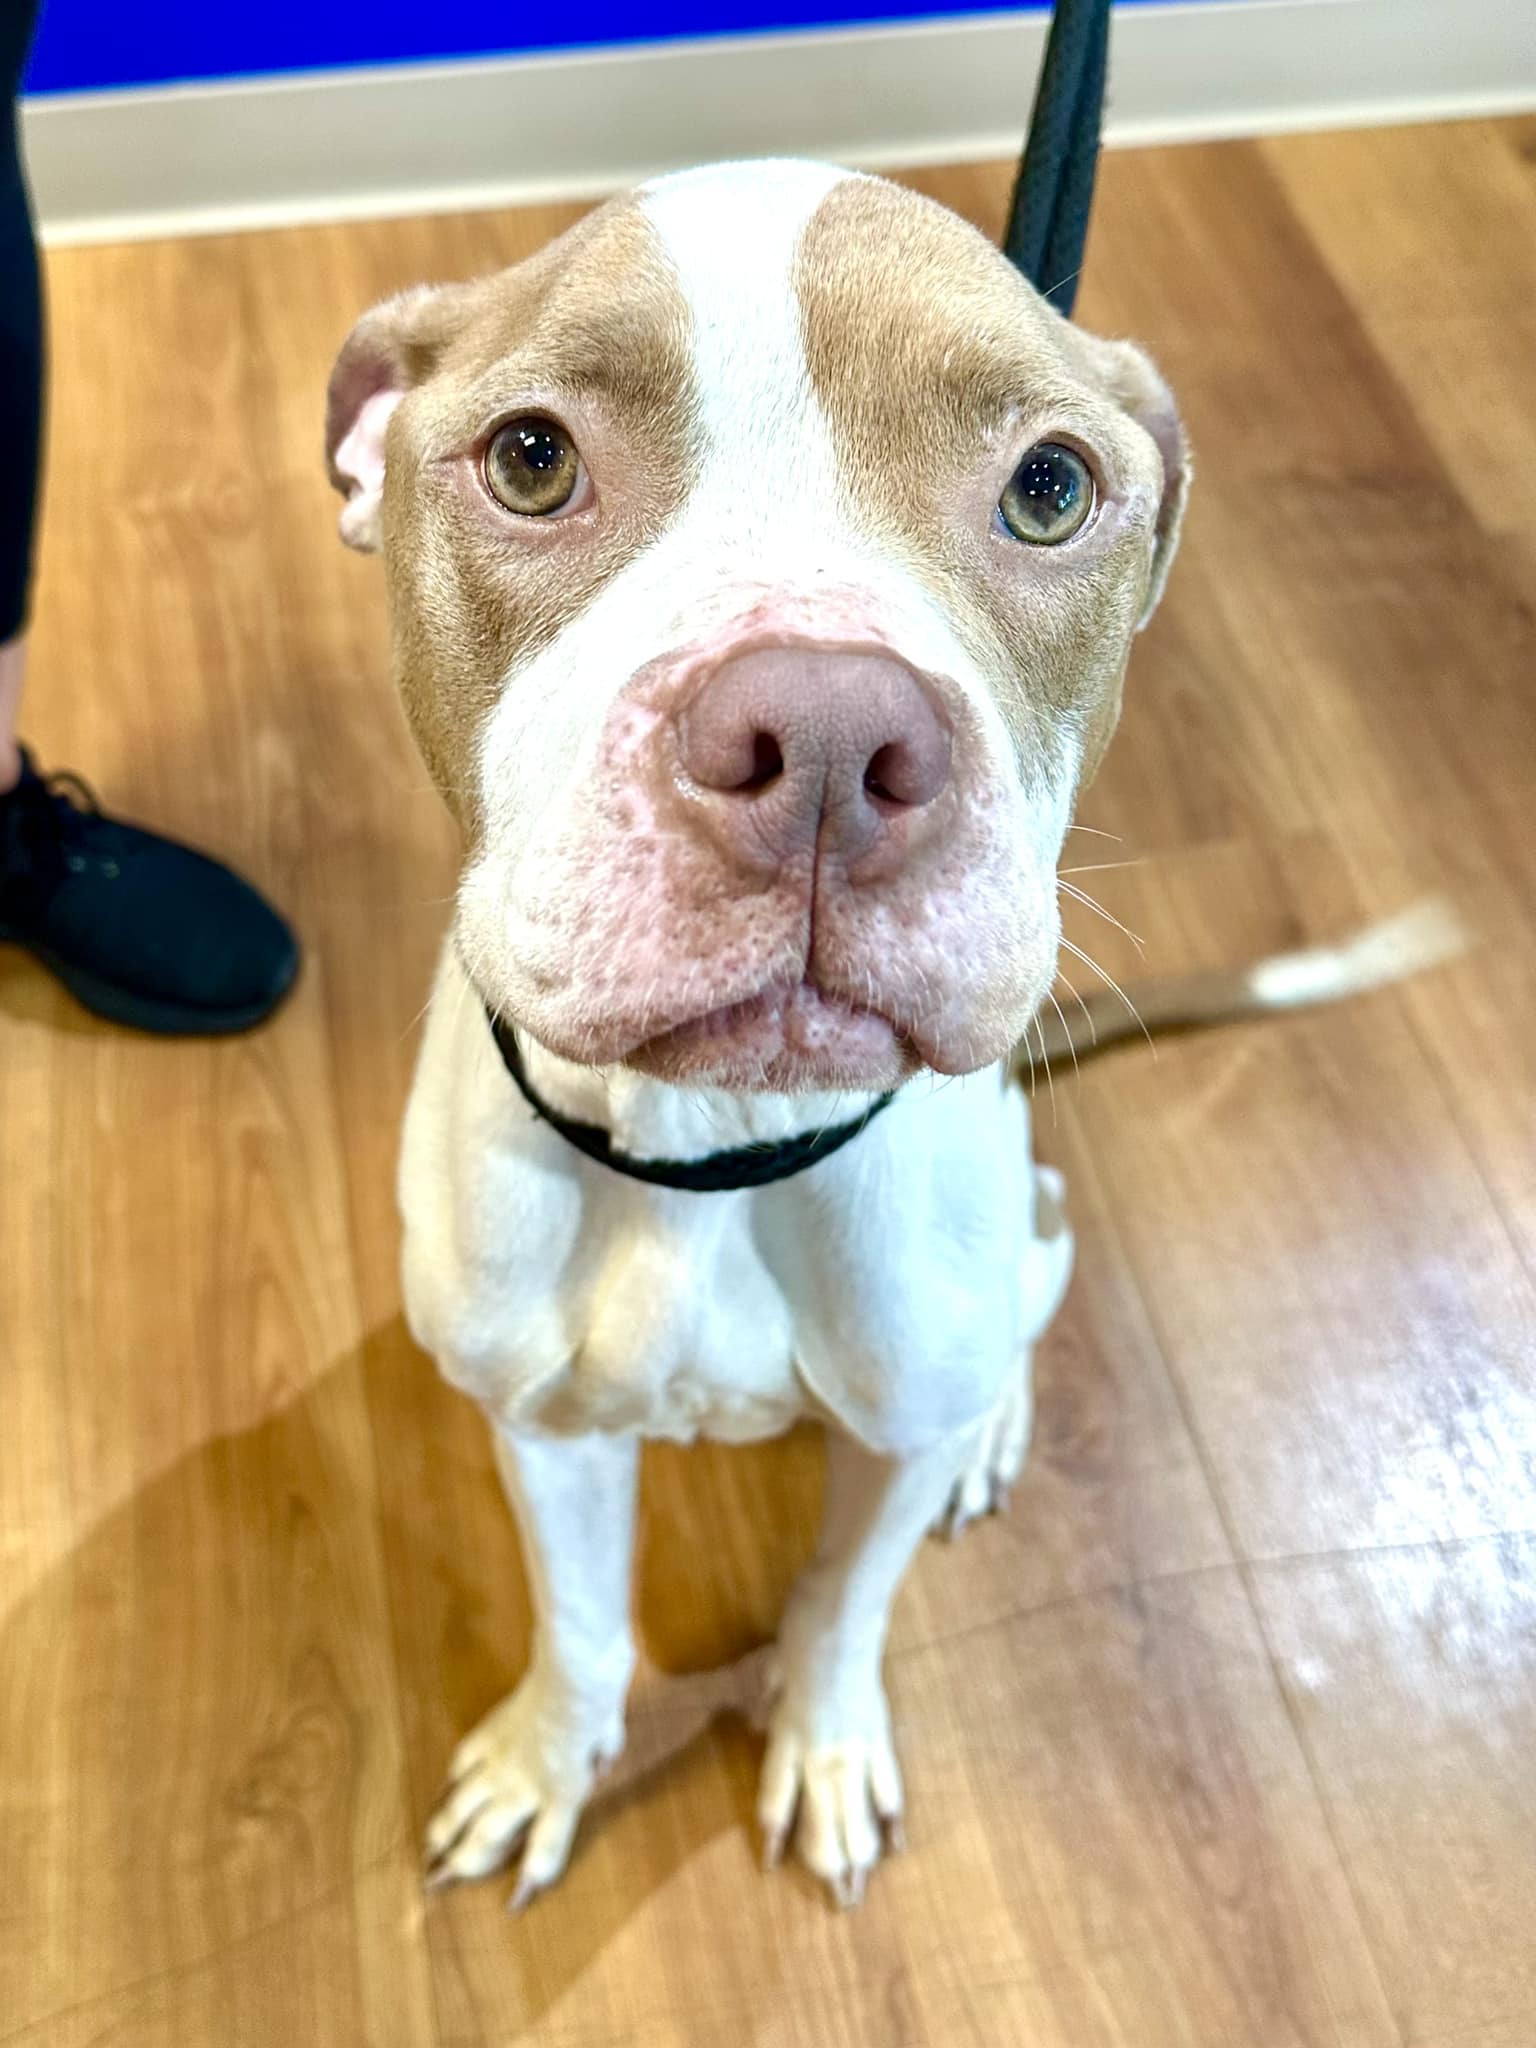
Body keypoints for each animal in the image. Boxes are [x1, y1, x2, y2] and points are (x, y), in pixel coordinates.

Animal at [321, 155, 1458, 1900]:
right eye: (530, 458)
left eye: (1051, 486)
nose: (825, 738)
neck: (714, 1150)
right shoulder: (540, 1427)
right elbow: (580, 1629)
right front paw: (541, 1765)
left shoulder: (881, 1448)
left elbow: (846, 1600)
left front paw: (829, 1740)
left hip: (1021, 1249)